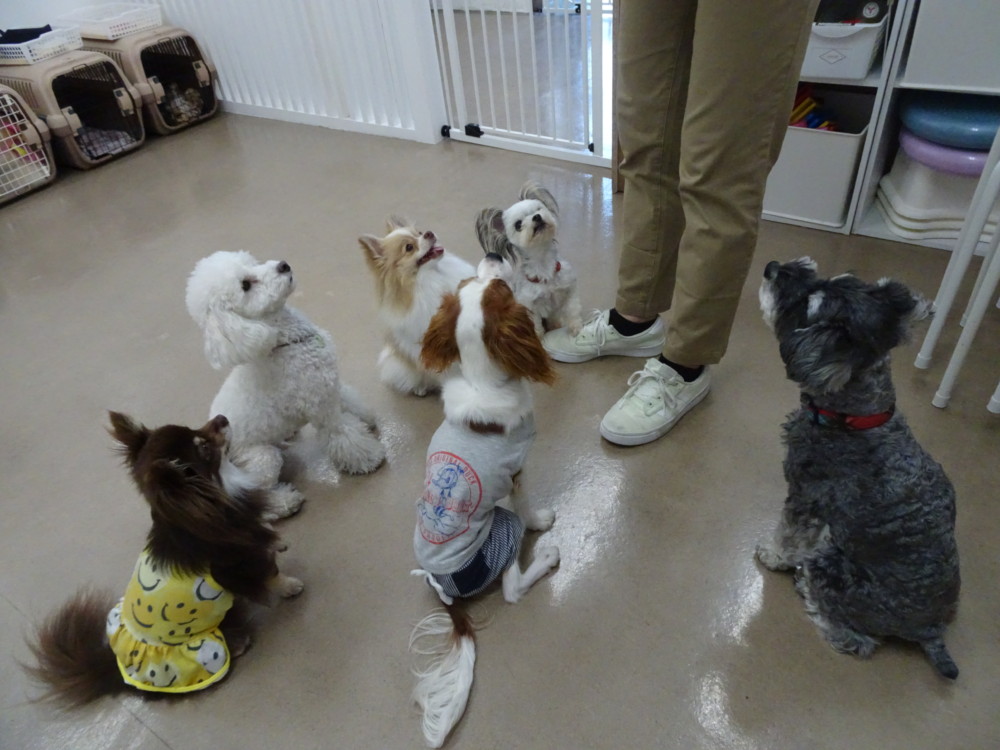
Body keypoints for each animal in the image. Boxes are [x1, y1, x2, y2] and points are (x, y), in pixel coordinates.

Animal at [24, 412, 303, 705]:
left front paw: (277, 541)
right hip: (207, 643)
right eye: (204, 447)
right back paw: (239, 643)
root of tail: (117, 671)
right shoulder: (241, 564)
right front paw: (291, 586)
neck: (217, 498)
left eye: (194, 428)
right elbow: (272, 574)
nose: (221, 417)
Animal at [186, 250, 385, 496]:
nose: (283, 265)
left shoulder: (330, 386)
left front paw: (366, 418)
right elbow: (342, 433)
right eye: (245, 286)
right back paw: (286, 499)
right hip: (263, 459)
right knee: (259, 492)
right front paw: (370, 458)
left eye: (251, 263)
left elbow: (350, 401)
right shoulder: (321, 408)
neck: (285, 343)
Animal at [408, 255, 560, 747]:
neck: (481, 376)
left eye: (471, 283)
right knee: (512, 589)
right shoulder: (516, 468)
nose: (493, 257)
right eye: (502, 287)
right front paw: (541, 521)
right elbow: (526, 503)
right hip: (501, 532)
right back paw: (545, 558)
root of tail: (444, 591)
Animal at [475, 181, 582, 336]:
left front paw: (576, 327)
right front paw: (540, 338)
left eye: (538, 209)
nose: (537, 217)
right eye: (518, 224)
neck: (543, 263)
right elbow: (535, 325)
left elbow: (572, 309)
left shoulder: (569, 288)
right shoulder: (530, 306)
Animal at [755, 257, 960, 678]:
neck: (857, 415)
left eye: (807, 304)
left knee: (857, 639)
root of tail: (931, 630)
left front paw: (774, 554)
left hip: (837, 574)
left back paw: (809, 590)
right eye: (832, 279)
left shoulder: (805, 494)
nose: (772, 266)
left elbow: (789, 533)